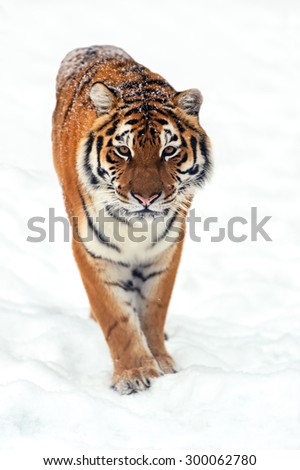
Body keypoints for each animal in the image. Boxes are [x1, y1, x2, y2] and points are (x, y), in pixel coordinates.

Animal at [52, 46, 211, 394]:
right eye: (123, 151)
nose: (146, 198)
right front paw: (135, 375)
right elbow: (118, 321)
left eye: (169, 151)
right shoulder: (93, 252)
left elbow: (153, 310)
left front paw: (162, 363)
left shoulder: (166, 251)